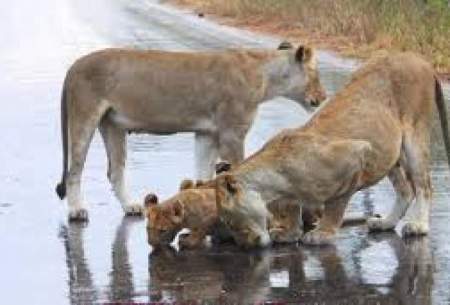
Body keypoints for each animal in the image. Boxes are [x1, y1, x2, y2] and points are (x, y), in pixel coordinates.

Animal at [55, 42, 326, 220]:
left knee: (115, 171)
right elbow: (240, 169)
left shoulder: (208, 133)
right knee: (74, 170)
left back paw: (131, 207)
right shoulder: (232, 132)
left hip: (113, 126)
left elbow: (203, 174)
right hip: (84, 116)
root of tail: (73, 66)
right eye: (316, 74)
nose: (323, 97)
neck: (265, 75)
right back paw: (76, 211)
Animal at [215, 52, 450, 247]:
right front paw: (289, 233)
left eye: (231, 222)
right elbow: (293, 208)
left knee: (424, 186)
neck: (276, 182)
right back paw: (385, 223)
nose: (246, 245)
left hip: (414, 138)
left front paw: (322, 233)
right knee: (405, 189)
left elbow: (336, 204)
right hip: (389, 153)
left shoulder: (356, 155)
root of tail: (419, 59)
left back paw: (418, 226)